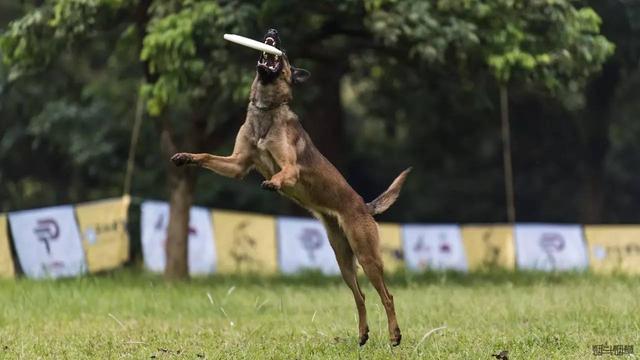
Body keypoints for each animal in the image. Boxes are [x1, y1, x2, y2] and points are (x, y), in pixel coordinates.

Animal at [171, 28, 410, 346]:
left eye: (283, 55)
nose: (272, 31)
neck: (265, 108)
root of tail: (364, 206)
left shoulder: (291, 168)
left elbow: (283, 172)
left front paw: (272, 183)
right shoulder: (238, 164)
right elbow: (207, 156)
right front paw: (186, 157)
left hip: (367, 255)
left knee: (387, 296)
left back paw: (394, 335)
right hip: (343, 261)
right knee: (359, 296)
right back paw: (362, 334)